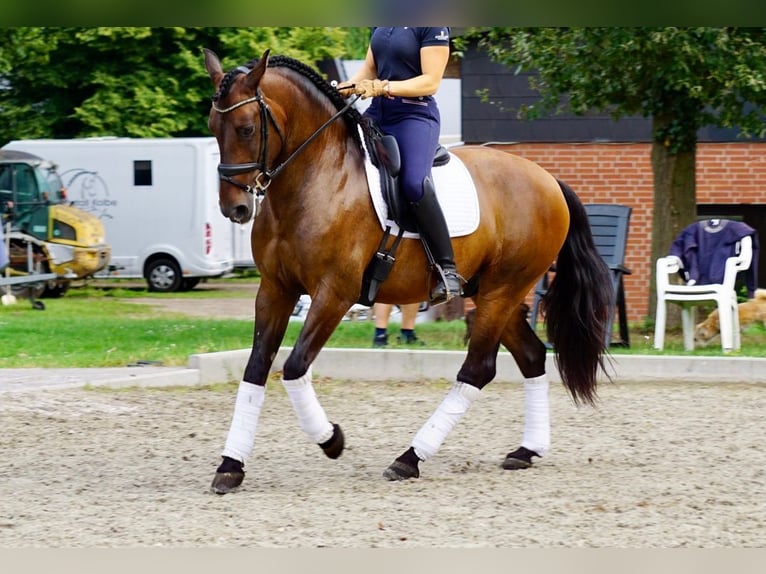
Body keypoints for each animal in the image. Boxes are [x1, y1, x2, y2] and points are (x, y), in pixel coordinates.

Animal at [203, 48, 613, 494]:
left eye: (245, 128)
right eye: (212, 128)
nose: (234, 208)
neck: (317, 177)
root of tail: (548, 179)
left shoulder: (334, 293)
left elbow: (294, 368)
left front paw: (331, 440)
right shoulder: (275, 289)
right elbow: (256, 367)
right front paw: (230, 465)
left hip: (502, 291)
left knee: (478, 369)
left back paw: (409, 458)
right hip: (491, 292)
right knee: (532, 355)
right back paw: (526, 450)